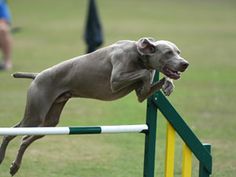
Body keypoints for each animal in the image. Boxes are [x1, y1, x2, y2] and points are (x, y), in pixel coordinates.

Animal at [0, 36, 188, 175]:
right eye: (168, 52)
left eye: (178, 52)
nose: (185, 64)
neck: (138, 54)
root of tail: (37, 75)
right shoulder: (116, 80)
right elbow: (144, 73)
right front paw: (156, 78)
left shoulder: (142, 95)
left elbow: (148, 86)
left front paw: (168, 84)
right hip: (35, 115)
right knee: (10, 133)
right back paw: (2, 157)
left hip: (49, 122)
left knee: (25, 139)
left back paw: (15, 166)